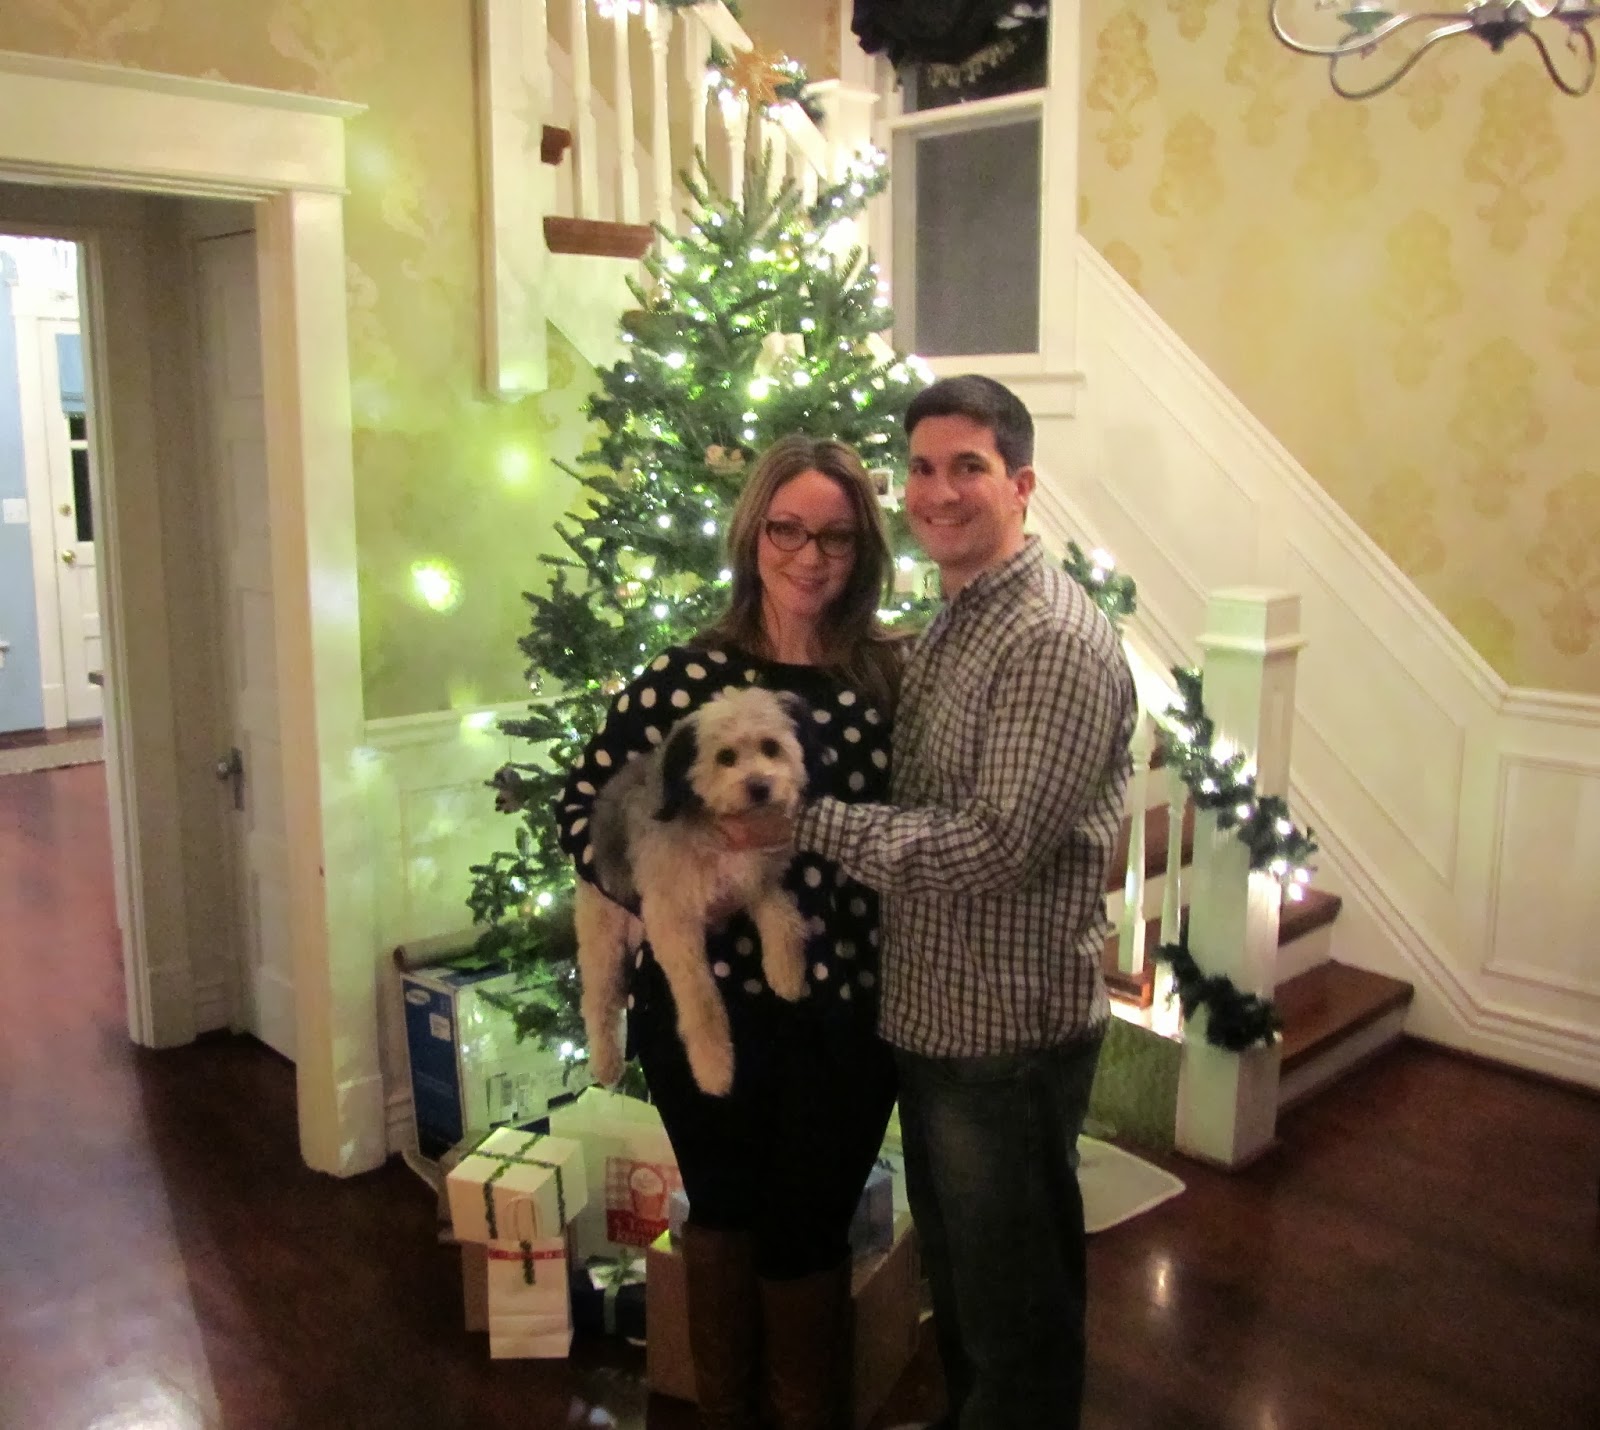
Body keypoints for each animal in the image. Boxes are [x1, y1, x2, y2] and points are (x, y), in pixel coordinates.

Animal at [574, 684, 816, 1097]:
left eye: (770, 747)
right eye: (725, 757)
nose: (760, 787)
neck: (719, 827)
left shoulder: (757, 883)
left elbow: (784, 920)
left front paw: (785, 972)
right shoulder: (674, 924)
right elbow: (701, 1002)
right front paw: (713, 1067)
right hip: (602, 942)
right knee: (597, 1003)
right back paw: (606, 1064)